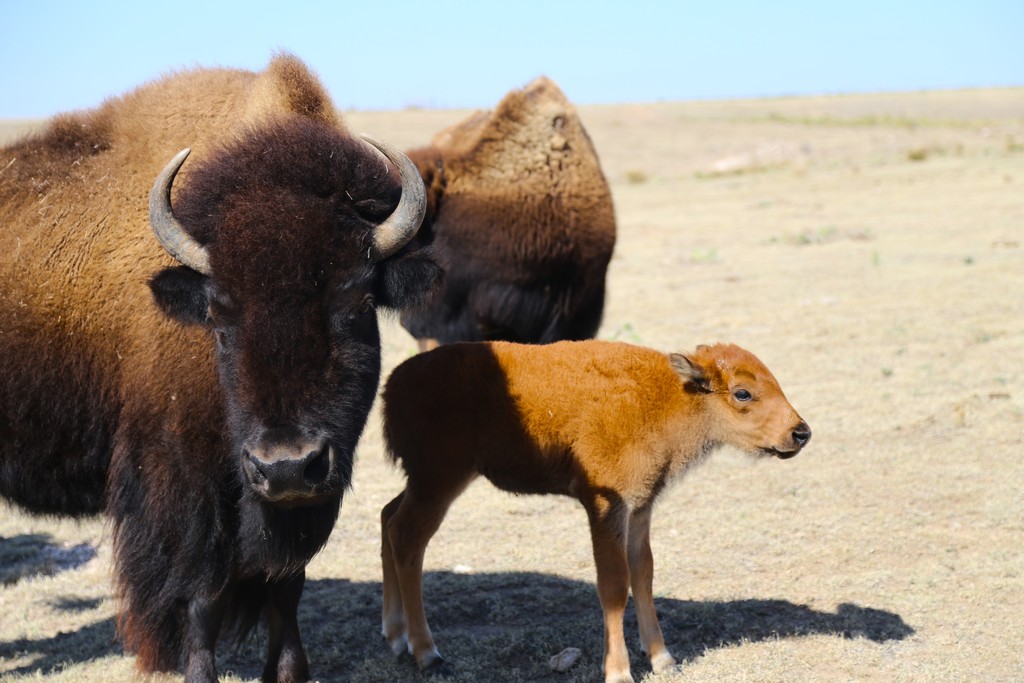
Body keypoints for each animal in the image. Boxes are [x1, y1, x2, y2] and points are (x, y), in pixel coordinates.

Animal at [0, 54, 442, 682]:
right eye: (218, 312)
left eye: (357, 300)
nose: (288, 464)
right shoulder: (185, 485)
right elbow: (202, 596)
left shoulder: (297, 503)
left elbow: (286, 588)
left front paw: (288, 670)